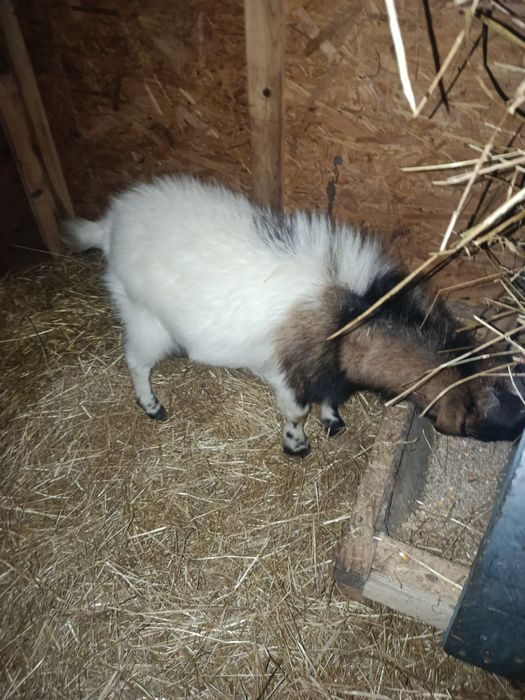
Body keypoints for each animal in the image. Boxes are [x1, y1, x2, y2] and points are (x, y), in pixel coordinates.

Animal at [66, 175, 525, 456]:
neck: (350, 321)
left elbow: (330, 399)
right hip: (144, 317)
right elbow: (296, 413)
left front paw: (333, 422)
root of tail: (109, 225)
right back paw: (151, 405)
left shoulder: (328, 372)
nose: (517, 431)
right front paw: (297, 446)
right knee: (136, 360)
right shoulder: (292, 375)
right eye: (493, 407)